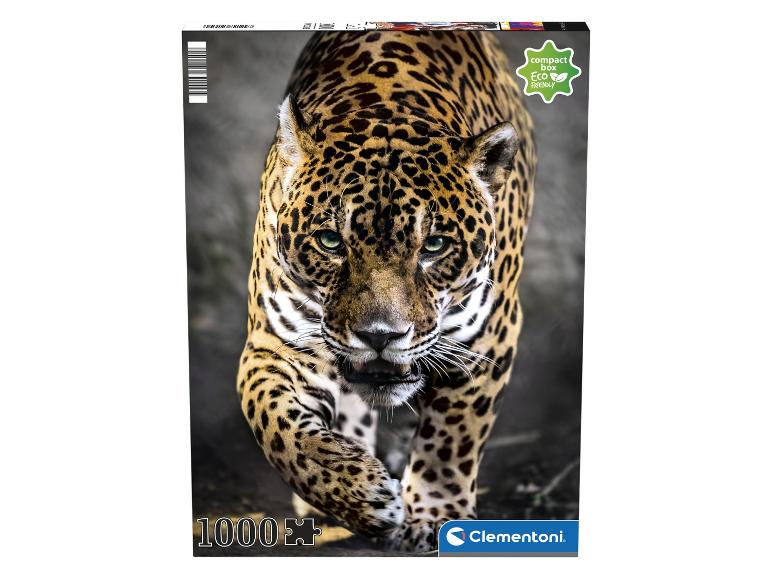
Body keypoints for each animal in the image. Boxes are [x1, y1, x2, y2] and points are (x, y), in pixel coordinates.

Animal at [236, 30, 535, 552]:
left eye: (434, 245)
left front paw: (436, 519)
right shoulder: (276, 344)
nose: (380, 336)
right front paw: (359, 494)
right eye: (330, 241)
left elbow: (451, 438)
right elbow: (277, 426)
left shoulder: (486, 338)